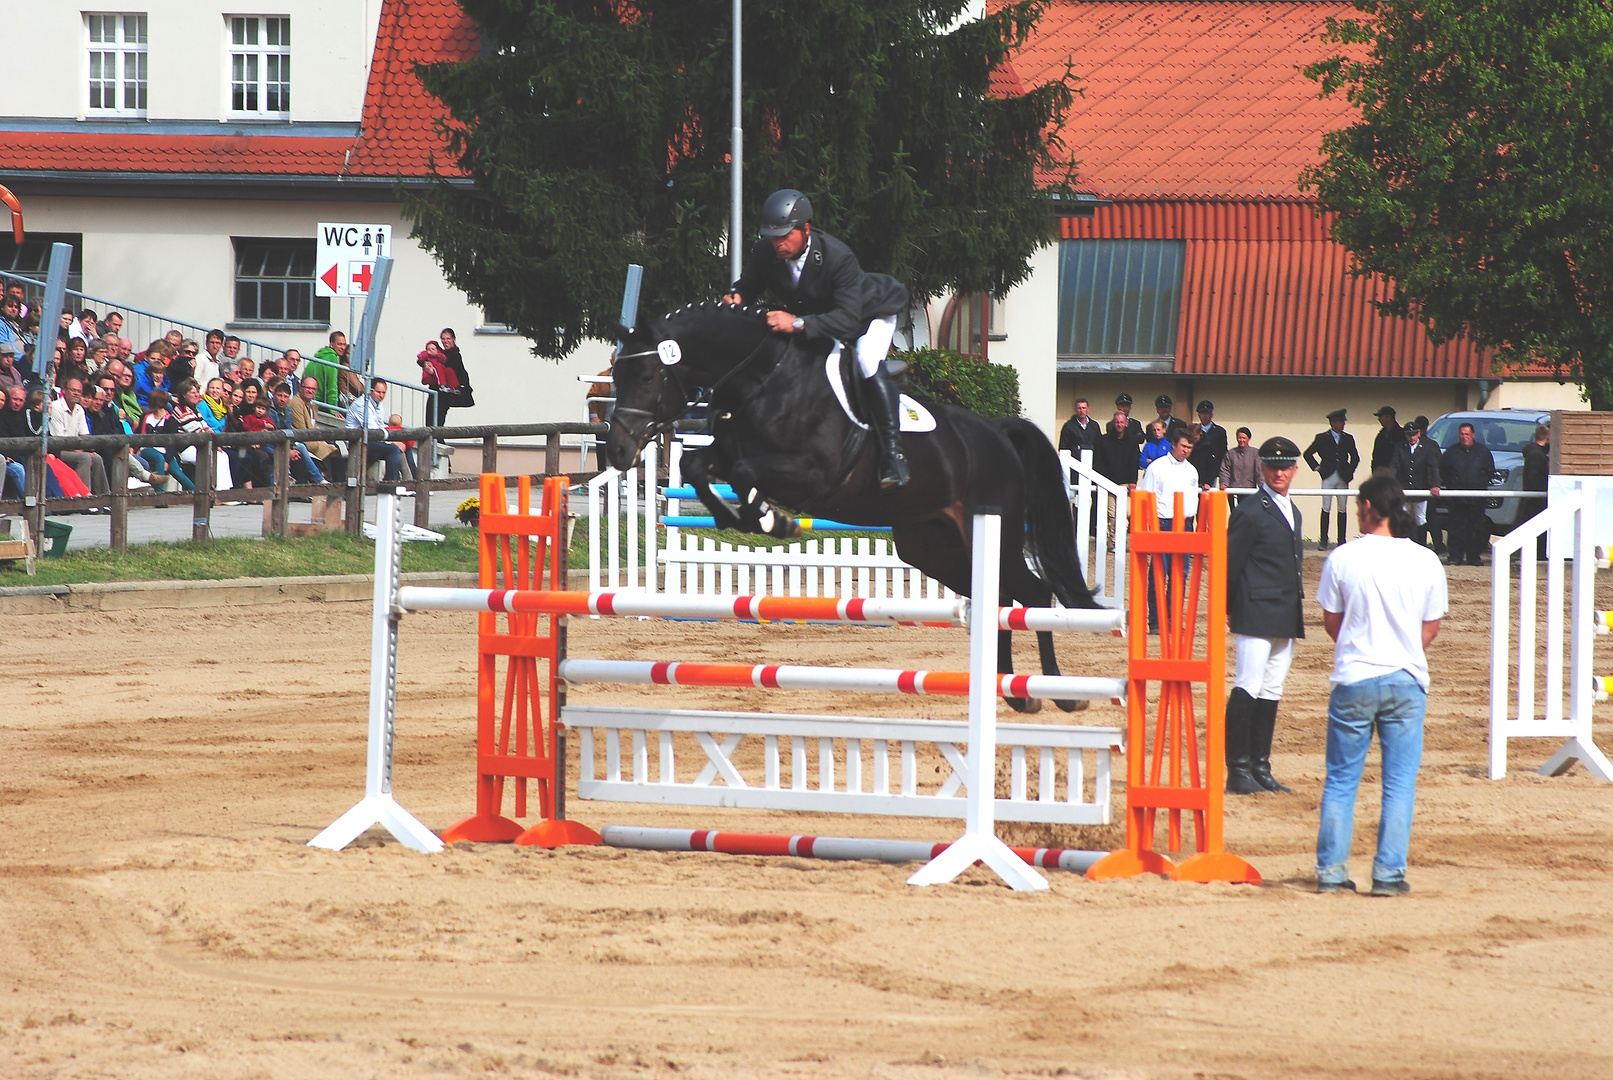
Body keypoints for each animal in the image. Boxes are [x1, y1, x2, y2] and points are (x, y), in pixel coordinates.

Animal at [603, 299, 1096, 715]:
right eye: (617, 377)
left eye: (646, 377)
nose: (618, 450)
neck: (763, 376)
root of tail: (998, 432)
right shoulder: (725, 452)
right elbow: (696, 463)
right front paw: (745, 515)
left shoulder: (811, 473)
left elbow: (743, 472)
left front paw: (770, 517)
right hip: (933, 547)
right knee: (1001, 596)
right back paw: (1012, 690)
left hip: (992, 532)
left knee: (1033, 593)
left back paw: (1058, 693)